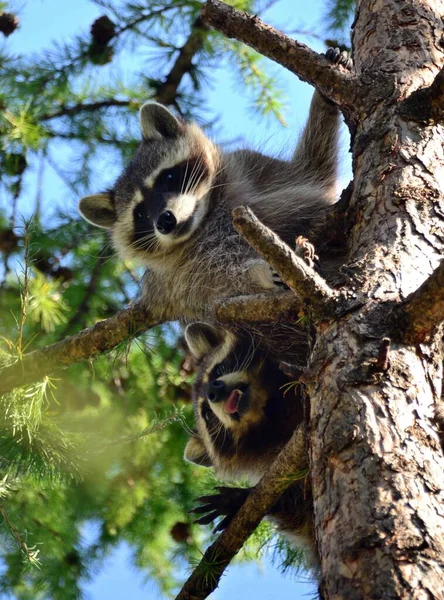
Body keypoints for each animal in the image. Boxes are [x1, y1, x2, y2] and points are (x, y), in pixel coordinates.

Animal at [77, 51, 346, 324]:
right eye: (140, 214)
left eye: (168, 177)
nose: (164, 221)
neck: (205, 219)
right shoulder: (183, 279)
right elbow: (224, 284)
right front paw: (259, 273)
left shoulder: (252, 165)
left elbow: (314, 171)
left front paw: (324, 98)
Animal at [181, 324, 316, 568]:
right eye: (207, 415)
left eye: (217, 371)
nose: (214, 391)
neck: (271, 410)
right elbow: (301, 513)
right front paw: (240, 498)